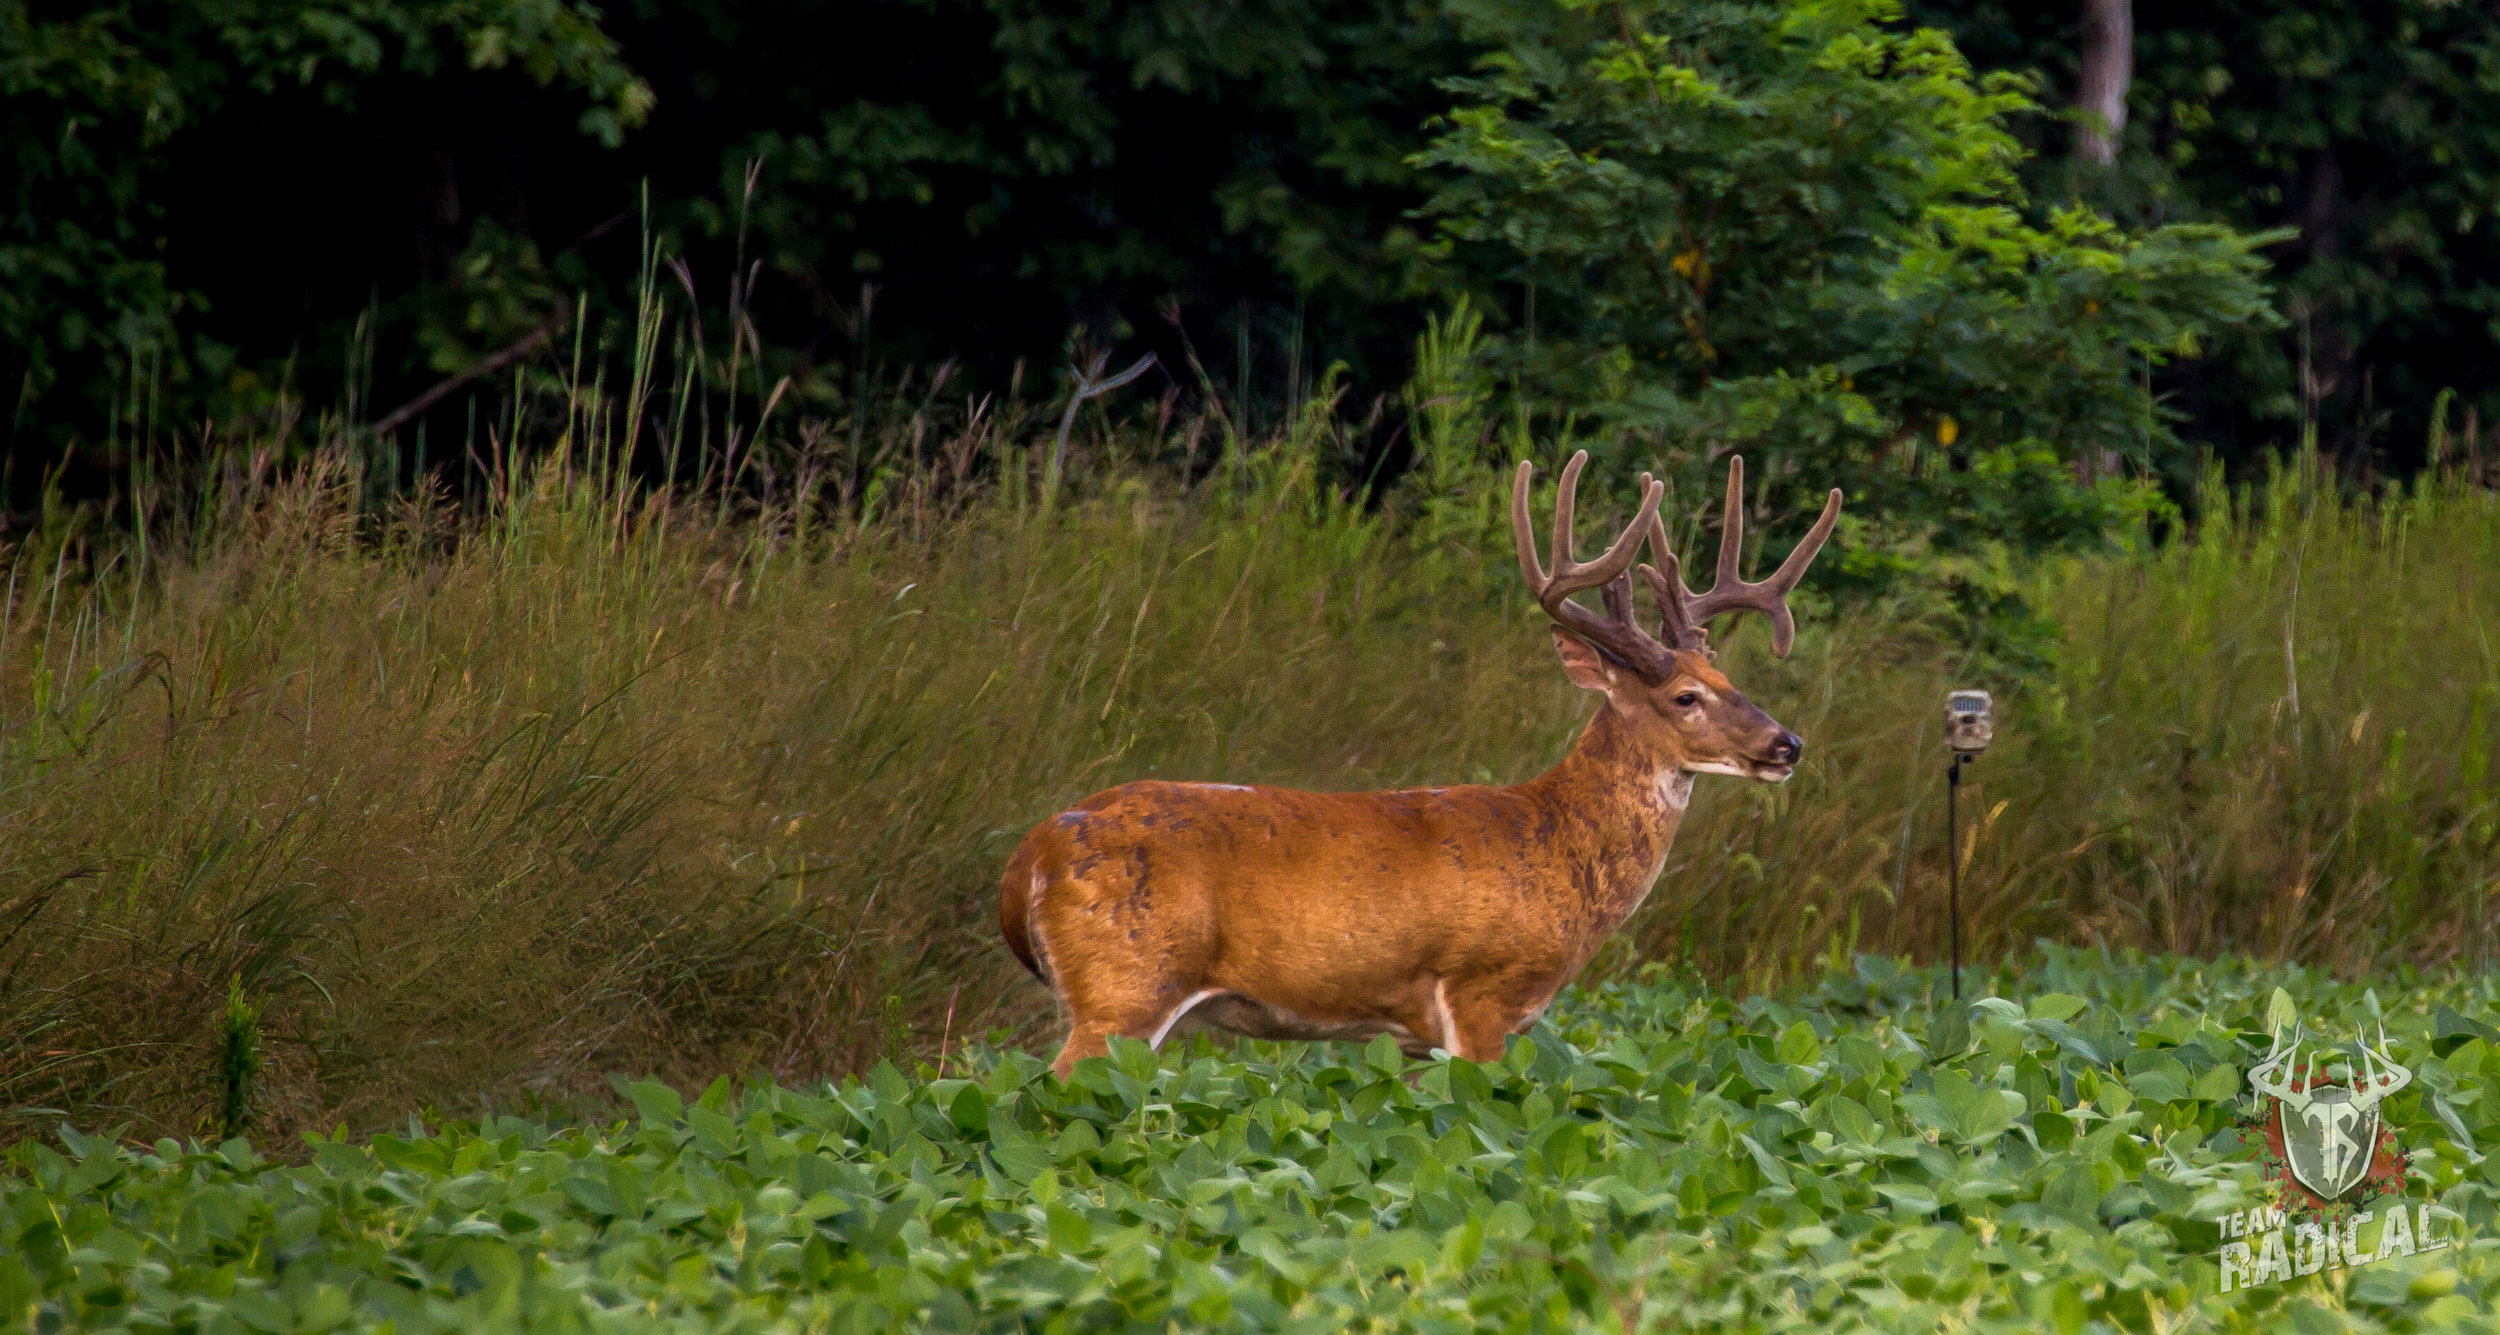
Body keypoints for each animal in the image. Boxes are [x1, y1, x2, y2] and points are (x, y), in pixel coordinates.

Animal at [995, 455, 1840, 1085]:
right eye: (1686, 695)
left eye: (1730, 677)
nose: (1788, 743)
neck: (1558, 843)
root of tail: (1032, 851)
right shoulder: (1481, 992)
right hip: (1125, 984)